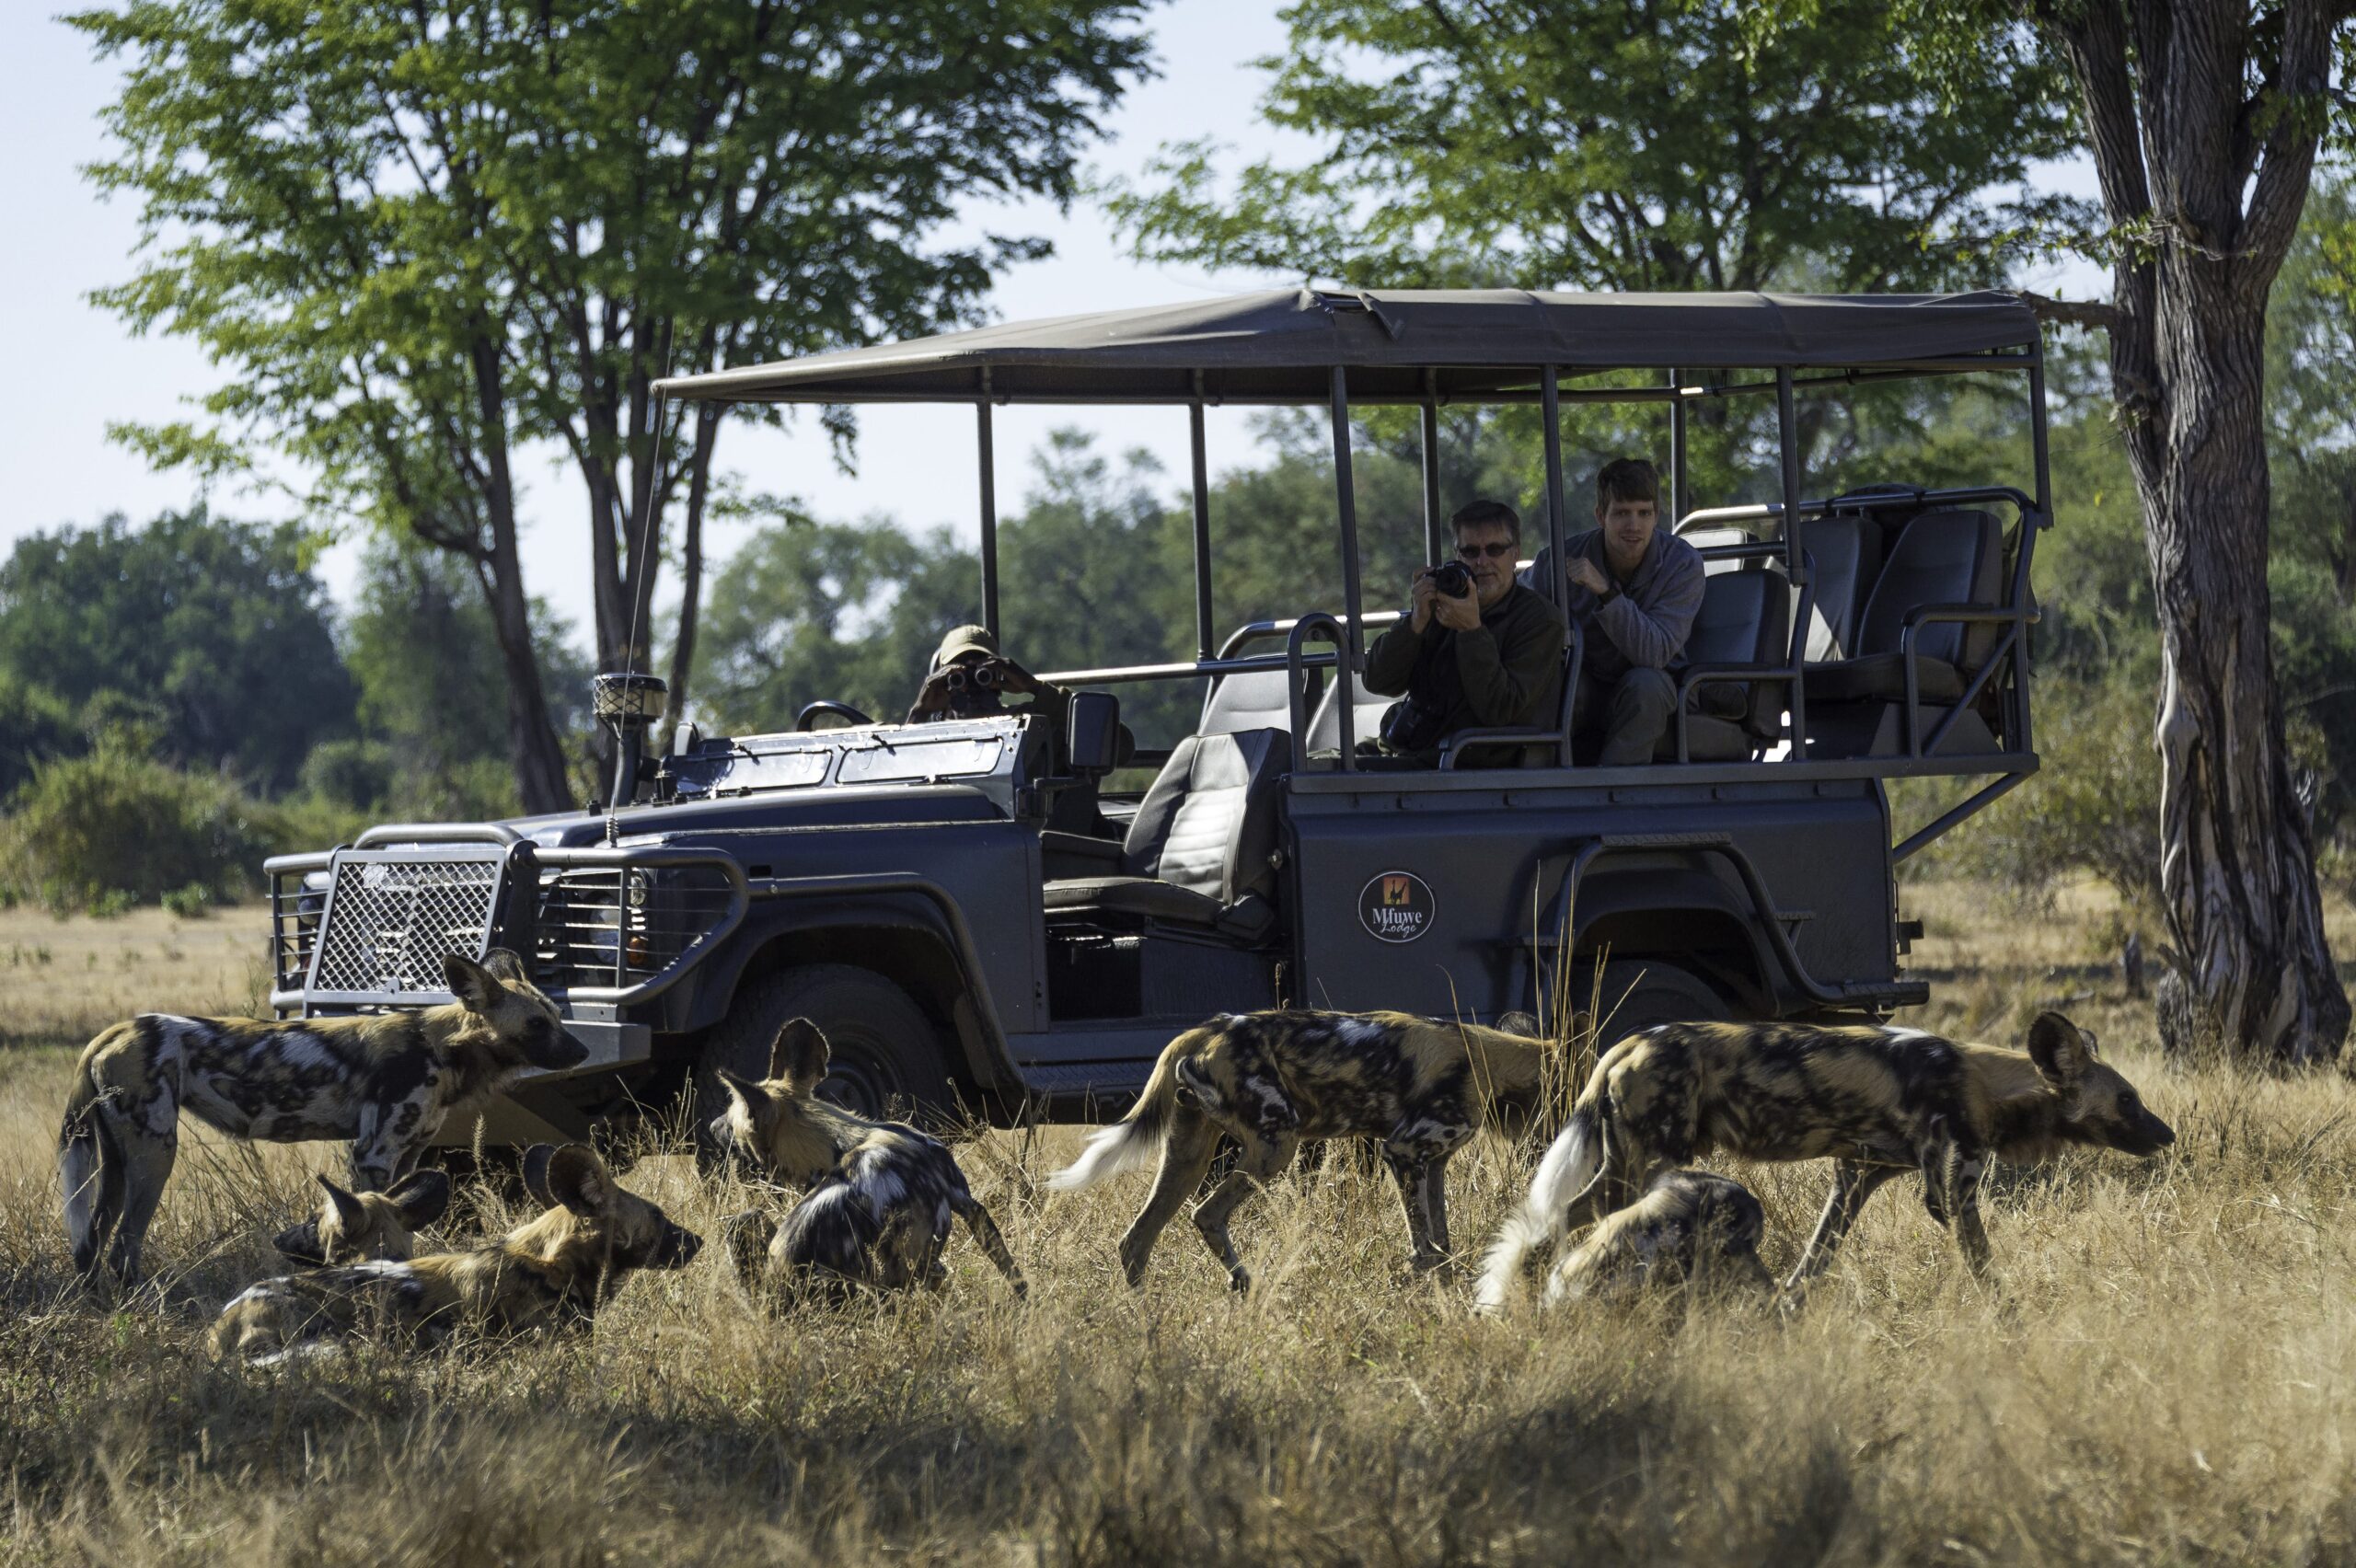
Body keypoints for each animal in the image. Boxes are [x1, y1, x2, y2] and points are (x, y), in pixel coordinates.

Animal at [1045, 1008, 1545, 1290]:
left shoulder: (1432, 1164)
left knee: (1136, 1240)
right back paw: (1244, 1284)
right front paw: (1429, 1298)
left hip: (1189, 1157)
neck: (1485, 1058)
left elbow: (1441, 1243)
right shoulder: (1402, 1153)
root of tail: (1205, 1030)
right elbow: (1424, 1248)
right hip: (1275, 1147)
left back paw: (1147, 1319)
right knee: (1205, 1214)